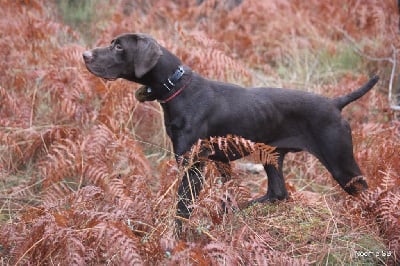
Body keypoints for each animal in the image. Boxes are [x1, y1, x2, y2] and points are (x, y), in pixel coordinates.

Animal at [83, 32, 378, 227]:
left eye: (118, 46)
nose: (85, 55)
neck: (177, 88)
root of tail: (334, 103)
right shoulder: (219, 161)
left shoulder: (193, 165)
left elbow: (183, 207)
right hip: (272, 158)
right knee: (277, 193)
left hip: (342, 165)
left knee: (370, 196)